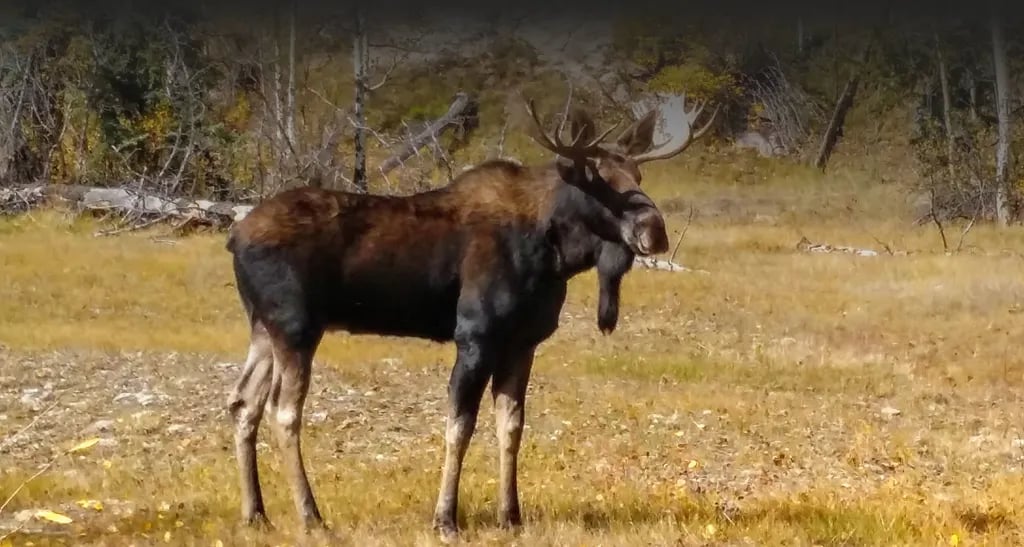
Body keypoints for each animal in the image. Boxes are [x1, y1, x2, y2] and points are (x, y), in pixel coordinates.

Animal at [223, 92, 717, 541]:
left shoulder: (523, 342)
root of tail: (234, 236)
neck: (556, 253)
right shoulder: (476, 335)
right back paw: (311, 516)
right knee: (284, 411)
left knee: (242, 402)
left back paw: (255, 514)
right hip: (296, 327)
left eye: (637, 173)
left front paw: (510, 516)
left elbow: (511, 426)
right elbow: (459, 427)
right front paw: (446, 519)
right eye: (597, 181)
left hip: (263, 329)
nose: (654, 230)